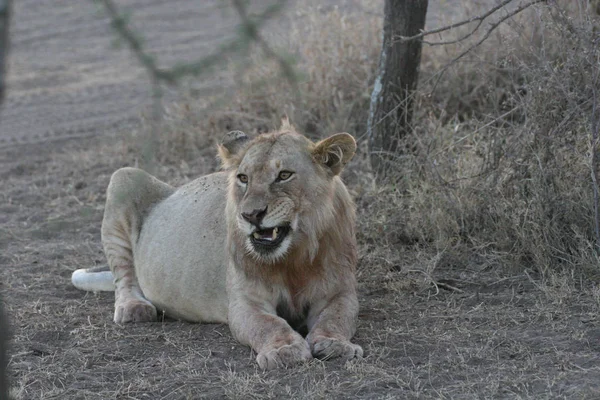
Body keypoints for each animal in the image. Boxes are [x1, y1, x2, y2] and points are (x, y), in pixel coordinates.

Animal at [70, 120, 360, 370]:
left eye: (284, 175)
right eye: (243, 178)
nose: (251, 215)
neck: (294, 258)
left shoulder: (338, 292)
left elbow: (336, 317)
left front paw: (335, 345)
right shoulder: (244, 302)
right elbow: (268, 324)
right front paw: (284, 350)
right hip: (124, 176)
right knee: (124, 276)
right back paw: (134, 308)